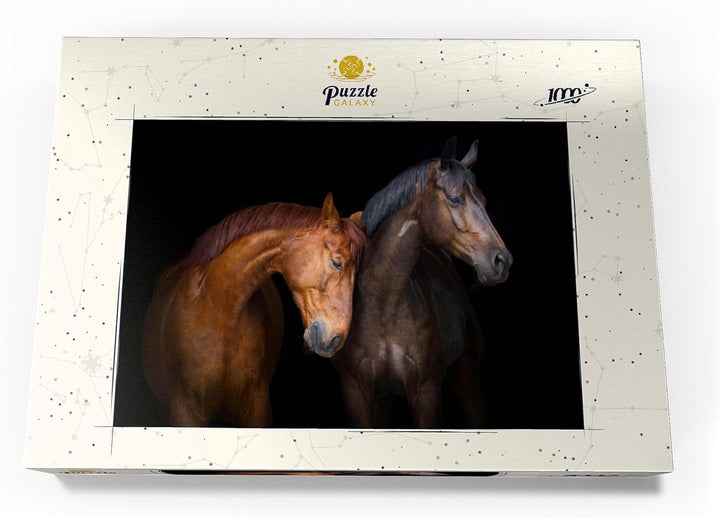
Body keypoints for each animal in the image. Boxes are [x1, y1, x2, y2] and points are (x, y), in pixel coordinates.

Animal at [333, 138, 512, 429]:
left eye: (484, 201)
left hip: (468, 383)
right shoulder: (356, 393)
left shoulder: (426, 393)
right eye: (455, 198)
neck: (383, 303)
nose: (502, 261)